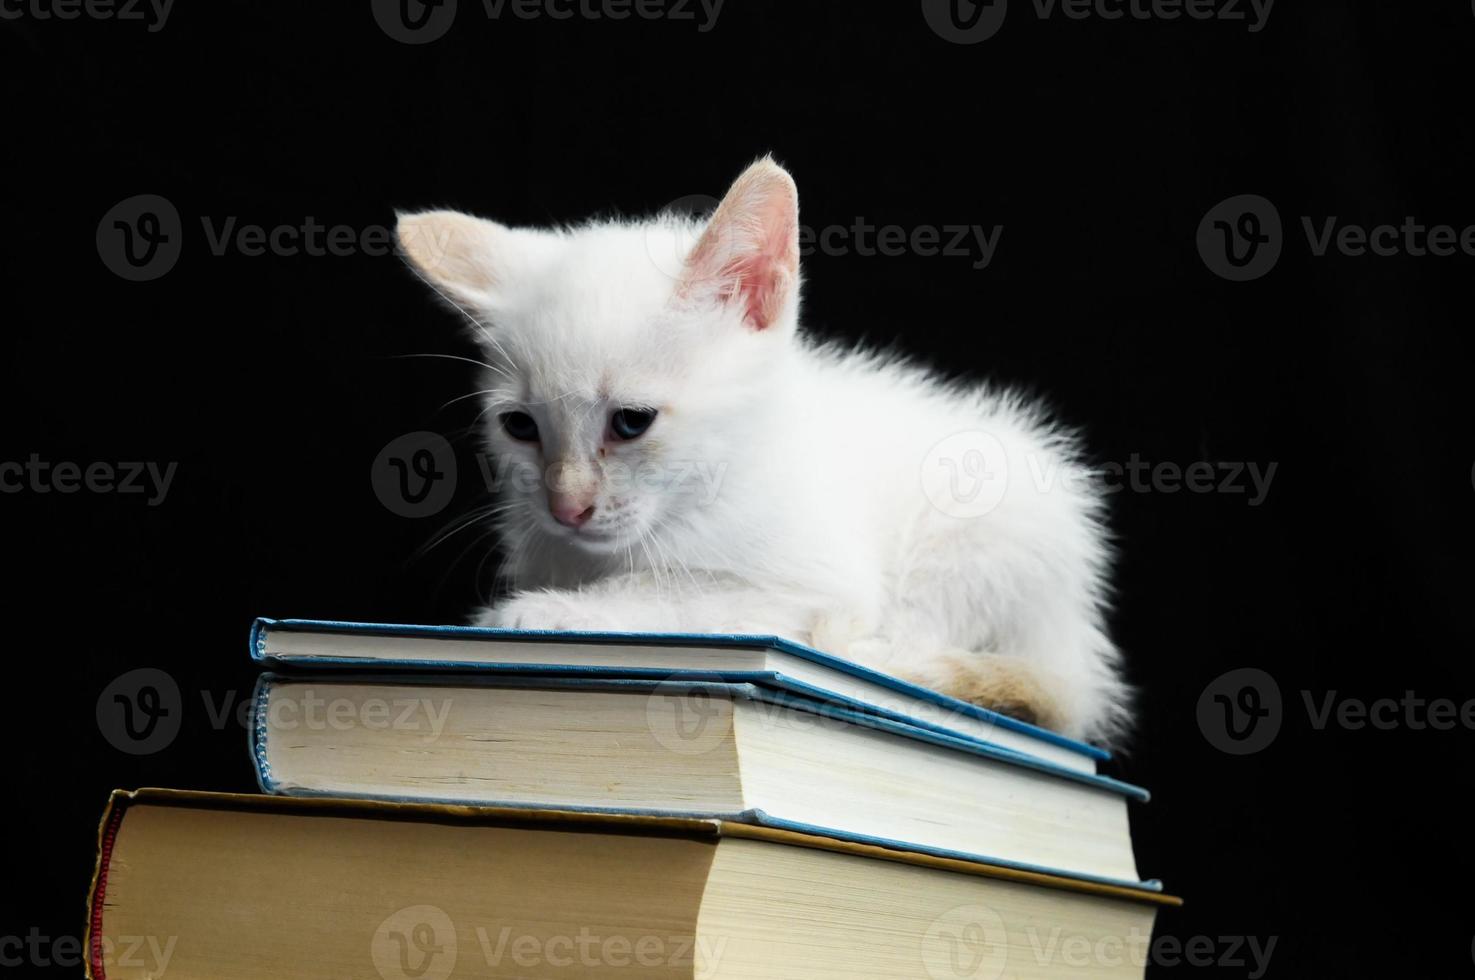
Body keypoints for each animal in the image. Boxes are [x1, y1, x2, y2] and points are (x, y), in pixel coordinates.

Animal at [395, 158, 1126, 743]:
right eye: (519, 426)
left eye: (631, 422)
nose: (565, 508)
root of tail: (1074, 635)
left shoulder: (815, 584)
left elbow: (686, 595)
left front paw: (556, 611)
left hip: (988, 527)